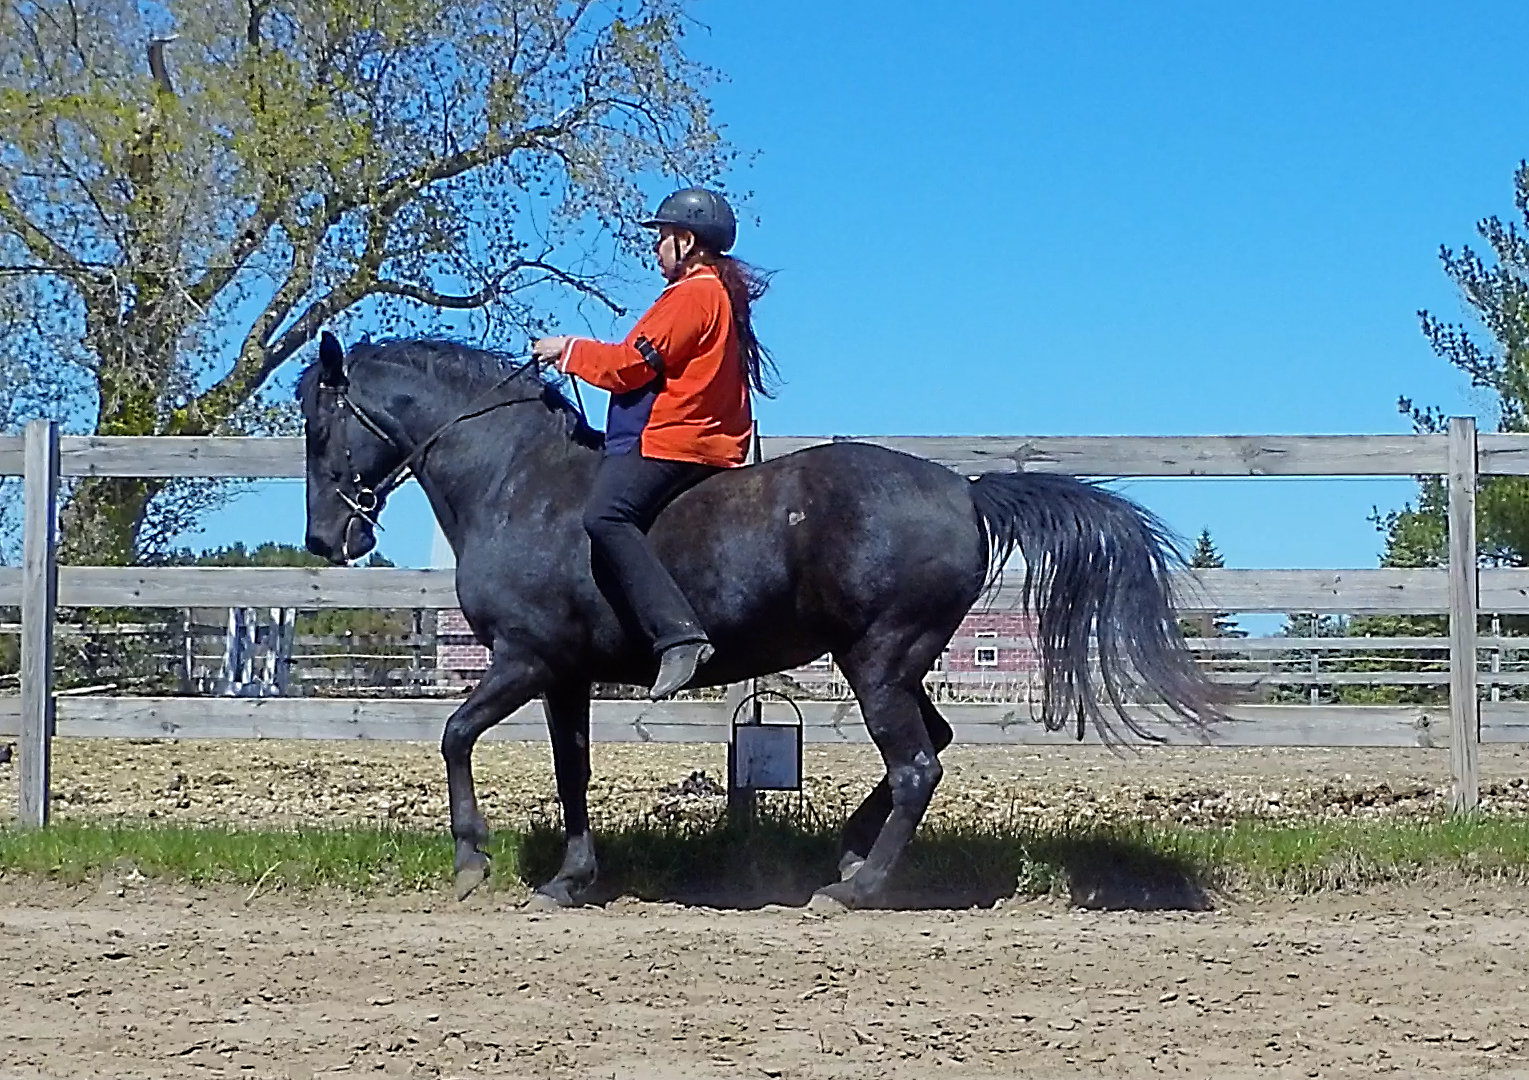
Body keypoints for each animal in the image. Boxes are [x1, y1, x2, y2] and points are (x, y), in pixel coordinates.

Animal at [298, 332, 1222, 909]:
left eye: (317, 424)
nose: (326, 539)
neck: (517, 483)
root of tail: (964, 491)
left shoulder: (525, 660)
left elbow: (454, 734)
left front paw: (470, 859)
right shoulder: (565, 677)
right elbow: (572, 773)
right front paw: (570, 878)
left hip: (877, 659)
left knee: (917, 765)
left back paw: (854, 887)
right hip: (891, 660)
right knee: (930, 745)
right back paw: (850, 851)